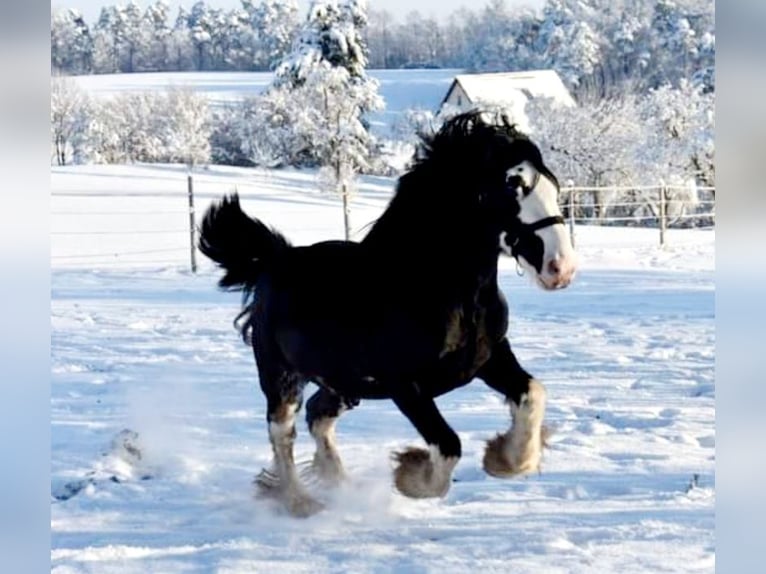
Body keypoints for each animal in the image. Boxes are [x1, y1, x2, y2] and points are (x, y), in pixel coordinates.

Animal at [198, 110, 576, 520]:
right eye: (512, 185)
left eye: (553, 185)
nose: (561, 268)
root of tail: (274, 259)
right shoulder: (405, 385)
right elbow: (448, 446)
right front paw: (409, 473)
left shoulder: (489, 359)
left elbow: (533, 394)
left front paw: (504, 459)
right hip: (282, 376)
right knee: (282, 433)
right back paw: (301, 503)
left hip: (343, 384)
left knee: (317, 416)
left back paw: (338, 483)